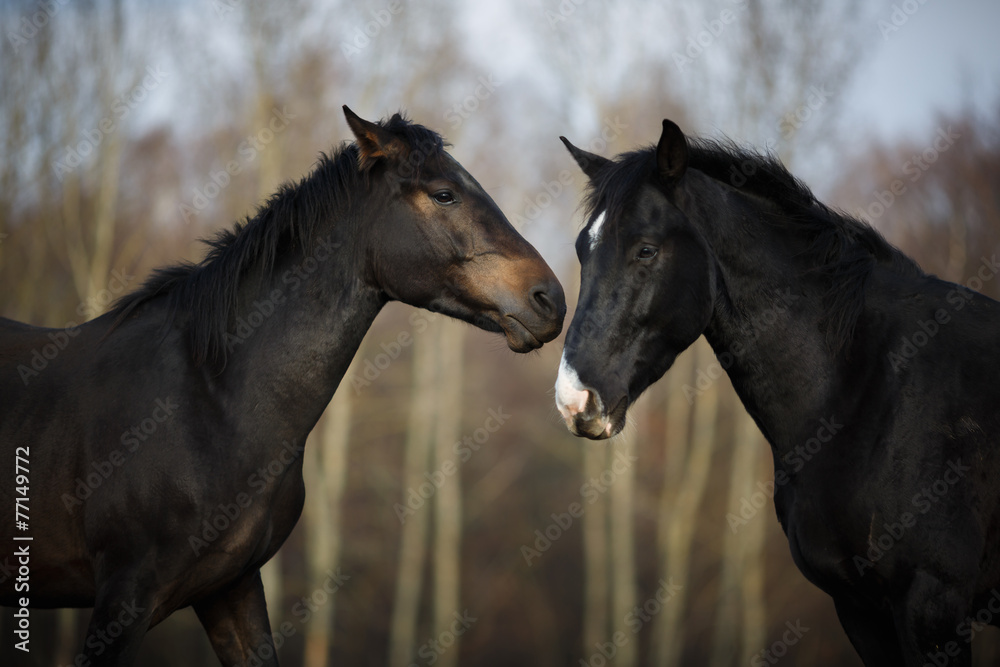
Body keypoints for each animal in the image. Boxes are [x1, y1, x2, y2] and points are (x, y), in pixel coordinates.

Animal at [553, 119, 1000, 665]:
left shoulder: (933, 604)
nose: (573, 398)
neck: (870, 388)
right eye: (583, 250)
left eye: (646, 250)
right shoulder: (860, 610)